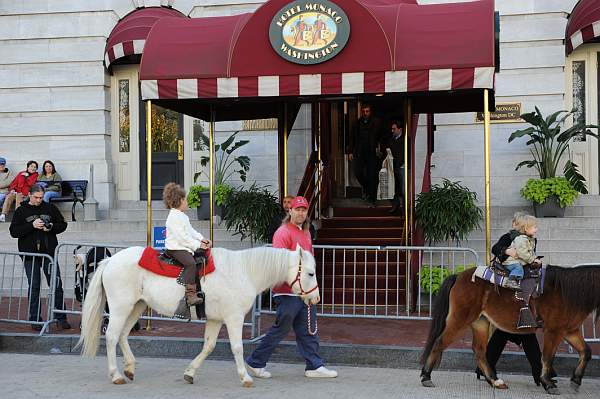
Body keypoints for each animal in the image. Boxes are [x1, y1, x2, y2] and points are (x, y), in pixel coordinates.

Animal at [74, 244, 318, 388]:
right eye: (310, 273)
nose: (315, 299)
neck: (243, 271)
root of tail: (110, 261)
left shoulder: (216, 320)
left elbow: (208, 347)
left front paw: (190, 373)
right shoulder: (234, 318)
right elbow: (237, 348)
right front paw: (245, 377)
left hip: (137, 306)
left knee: (123, 335)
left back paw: (130, 368)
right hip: (120, 307)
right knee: (112, 336)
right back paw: (115, 375)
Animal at [422, 268, 600, 396]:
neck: (565, 292)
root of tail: (459, 276)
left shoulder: (569, 331)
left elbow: (586, 352)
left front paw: (576, 380)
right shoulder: (553, 331)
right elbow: (547, 357)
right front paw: (548, 383)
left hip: (480, 323)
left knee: (479, 351)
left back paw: (495, 381)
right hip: (459, 319)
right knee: (439, 342)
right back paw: (426, 376)